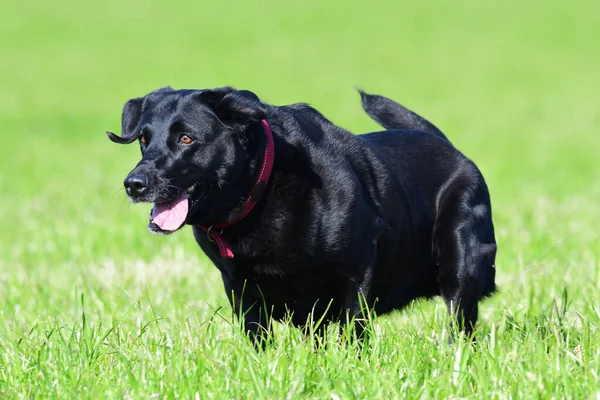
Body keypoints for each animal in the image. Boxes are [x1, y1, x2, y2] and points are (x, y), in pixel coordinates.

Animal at [106, 86, 496, 346]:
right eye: (143, 139)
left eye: (186, 139)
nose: (134, 184)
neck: (260, 192)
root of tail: (452, 149)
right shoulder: (238, 285)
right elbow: (257, 336)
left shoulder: (358, 268)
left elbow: (353, 328)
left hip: (460, 256)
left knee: (461, 317)